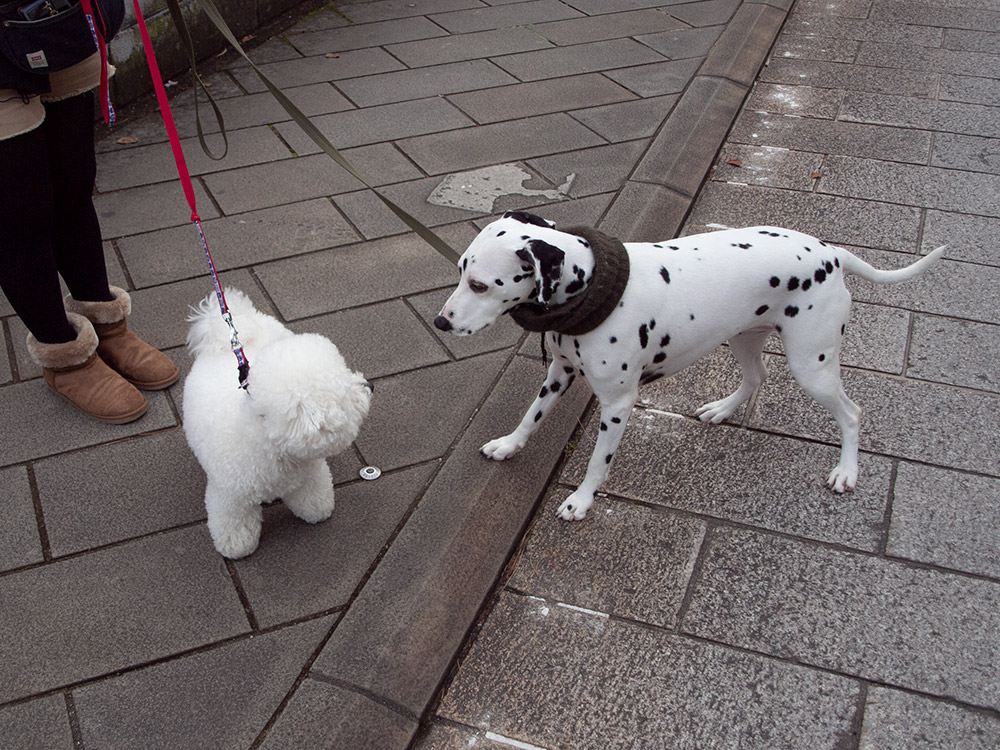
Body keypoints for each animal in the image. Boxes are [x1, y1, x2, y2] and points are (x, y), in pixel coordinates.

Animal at [183, 290, 372, 560]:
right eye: (346, 395)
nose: (369, 385)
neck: (270, 443)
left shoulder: (307, 473)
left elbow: (313, 496)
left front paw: (317, 509)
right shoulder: (231, 495)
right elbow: (234, 521)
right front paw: (236, 544)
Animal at [436, 209, 944, 520]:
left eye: (480, 284)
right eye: (460, 270)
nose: (441, 321)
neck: (593, 289)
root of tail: (831, 253)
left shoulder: (617, 405)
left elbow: (598, 462)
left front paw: (580, 501)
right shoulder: (558, 372)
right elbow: (531, 417)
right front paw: (508, 445)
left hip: (812, 367)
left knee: (852, 414)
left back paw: (847, 472)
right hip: (743, 338)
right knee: (756, 376)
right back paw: (721, 410)